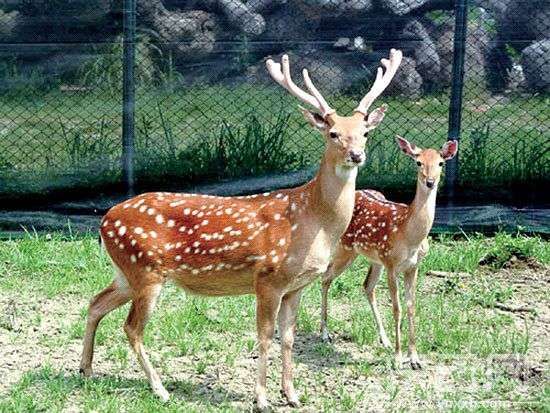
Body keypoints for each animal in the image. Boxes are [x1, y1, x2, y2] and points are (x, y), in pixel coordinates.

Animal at [80, 49, 404, 408]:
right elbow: (264, 337)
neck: (313, 221)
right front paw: (262, 398)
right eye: (332, 133)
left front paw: (291, 395)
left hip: (127, 273)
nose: (356, 155)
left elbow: (288, 338)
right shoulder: (268, 278)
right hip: (146, 270)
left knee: (95, 303)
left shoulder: (297, 286)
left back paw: (86, 370)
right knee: (132, 328)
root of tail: (104, 221)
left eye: (365, 132)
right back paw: (160, 389)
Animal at [322, 137, 460, 368]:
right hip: (346, 248)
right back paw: (325, 333)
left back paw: (384, 339)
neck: (409, 234)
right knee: (326, 277)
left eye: (441, 163)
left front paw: (414, 358)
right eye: (418, 162)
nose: (430, 182)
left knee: (367, 286)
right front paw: (398, 358)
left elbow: (411, 307)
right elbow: (397, 308)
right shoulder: (391, 263)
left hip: (374, 259)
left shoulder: (413, 267)